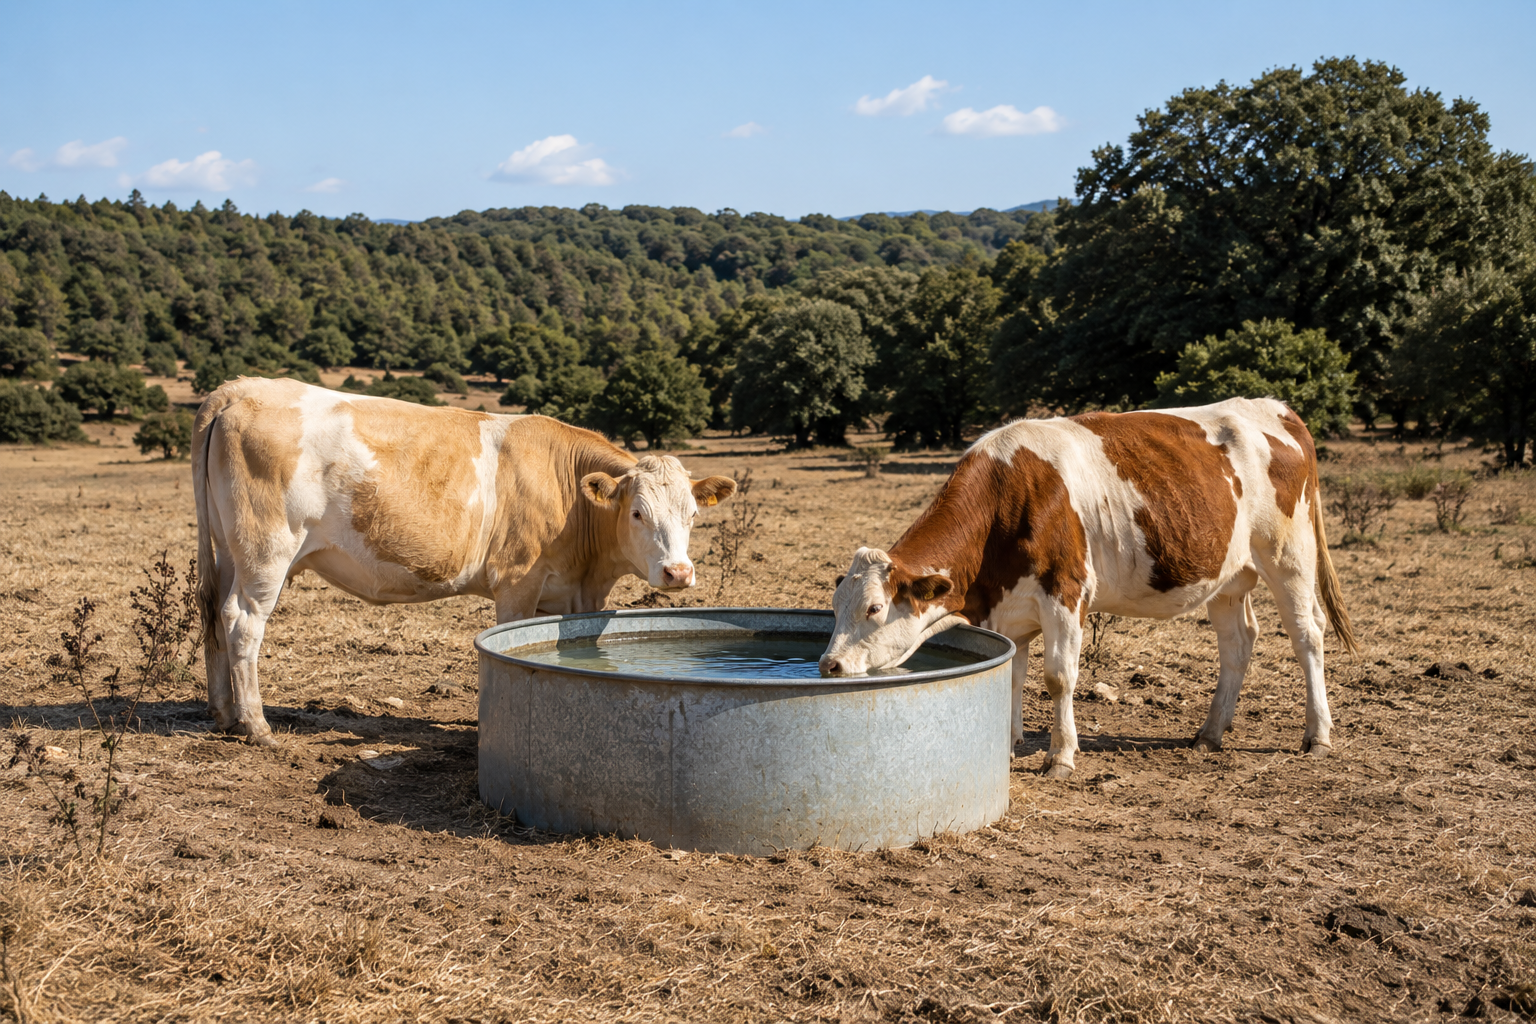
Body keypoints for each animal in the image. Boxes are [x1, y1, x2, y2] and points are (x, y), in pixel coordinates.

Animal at [193, 377, 736, 745]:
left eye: (692, 514)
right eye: (638, 512)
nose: (678, 573)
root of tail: (242, 388)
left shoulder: (574, 594)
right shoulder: (518, 582)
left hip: (229, 551)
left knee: (213, 611)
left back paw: (223, 713)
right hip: (267, 551)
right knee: (243, 621)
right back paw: (257, 724)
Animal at [819, 398, 1357, 778]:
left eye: (873, 608)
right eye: (836, 606)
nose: (828, 666)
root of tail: (1277, 409)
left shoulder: (1065, 592)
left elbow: (1058, 678)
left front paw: (1060, 756)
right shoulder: (1010, 609)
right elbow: (1012, 673)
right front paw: (1006, 745)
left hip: (1289, 556)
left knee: (1307, 634)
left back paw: (1318, 735)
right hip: (1228, 572)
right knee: (1237, 641)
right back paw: (1210, 732)